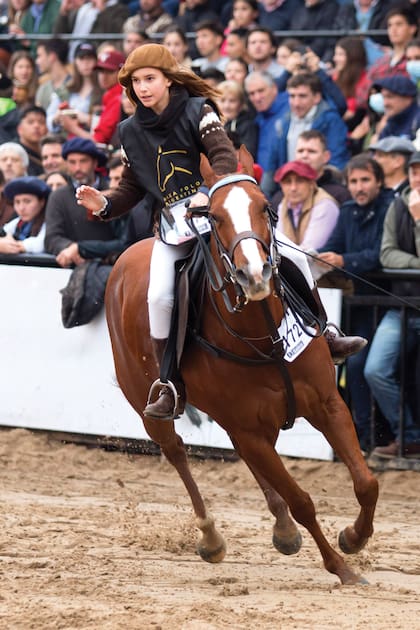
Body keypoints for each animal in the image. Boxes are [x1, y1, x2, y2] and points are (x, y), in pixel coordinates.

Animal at [104, 146, 378, 584]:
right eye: (214, 216)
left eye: (265, 206)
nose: (254, 273)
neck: (267, 337)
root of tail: (128, 254)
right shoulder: (251, 429)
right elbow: (302, 501)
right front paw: (341, 566)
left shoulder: (327, 405)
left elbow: (366, 482)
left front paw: (353, 538)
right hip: (149, 404)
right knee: (176, 451)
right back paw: (211, 536)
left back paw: (282, 529)